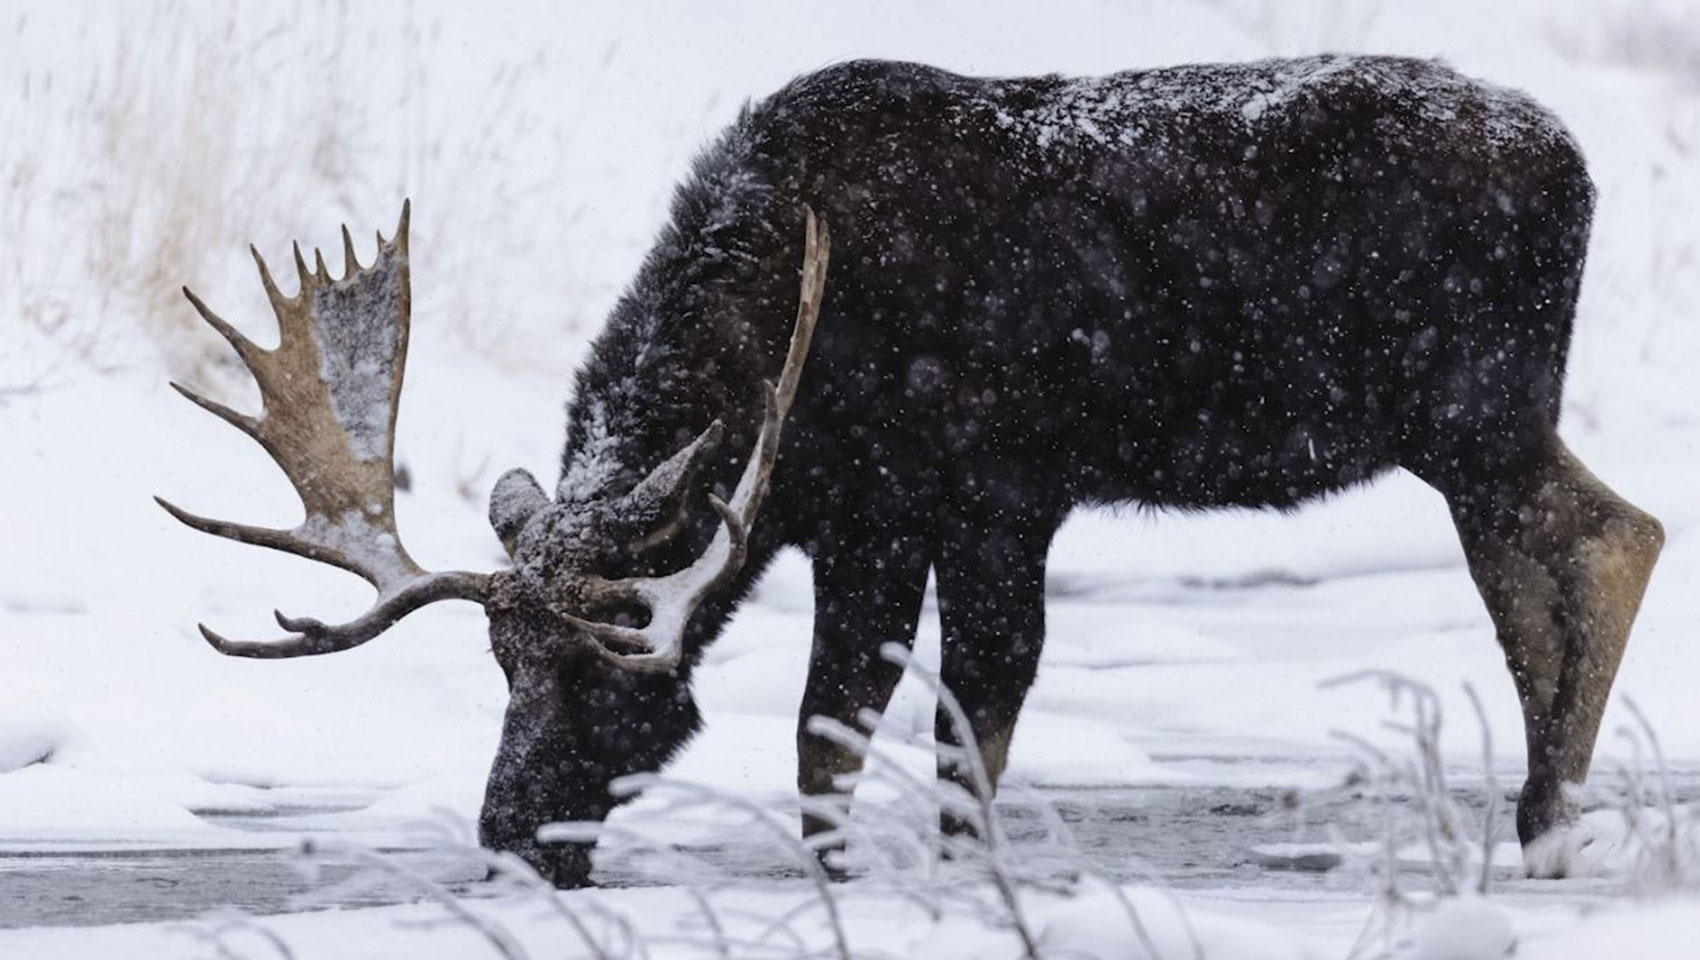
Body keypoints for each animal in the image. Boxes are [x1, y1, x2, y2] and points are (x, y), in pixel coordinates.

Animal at [160, 55, 1663, 887]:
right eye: (499, 663)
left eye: (606, 674)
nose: (510, 833)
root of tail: (1583, 165)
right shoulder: (860, 520)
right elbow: (834, 732)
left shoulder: (994, 490)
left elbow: (956, 719)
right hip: (1473, 431)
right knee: (1579, 550)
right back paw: (1546, 820)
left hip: (1472, 417)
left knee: (1604, 543)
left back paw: (1547, 826)